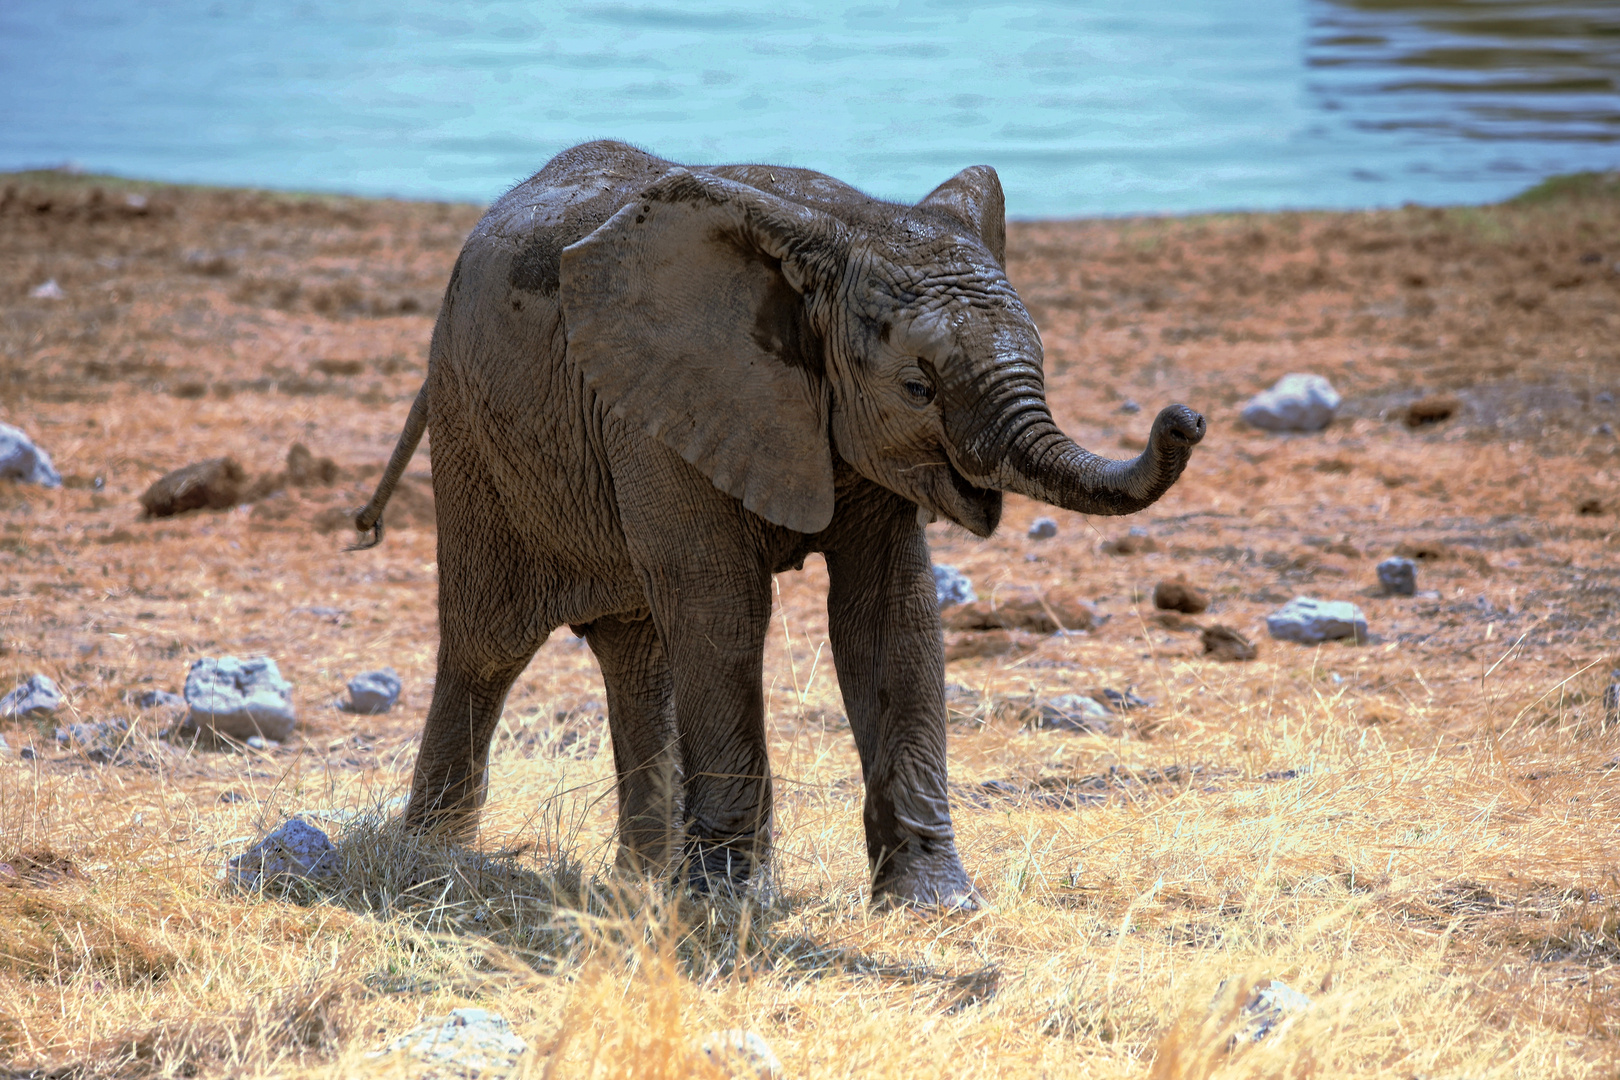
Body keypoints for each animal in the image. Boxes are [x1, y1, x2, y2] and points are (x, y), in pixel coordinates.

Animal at [358, 139, 1205, 906]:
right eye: (917, 388)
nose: (1186, 419)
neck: (843, 231)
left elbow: (890, 616)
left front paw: (932, 904)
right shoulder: (662, 407)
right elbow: (724, 606)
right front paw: (726, 907)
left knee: (637, 654)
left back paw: (638, 885)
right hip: (472, 430)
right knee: (488, 643)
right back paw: (435, 863)